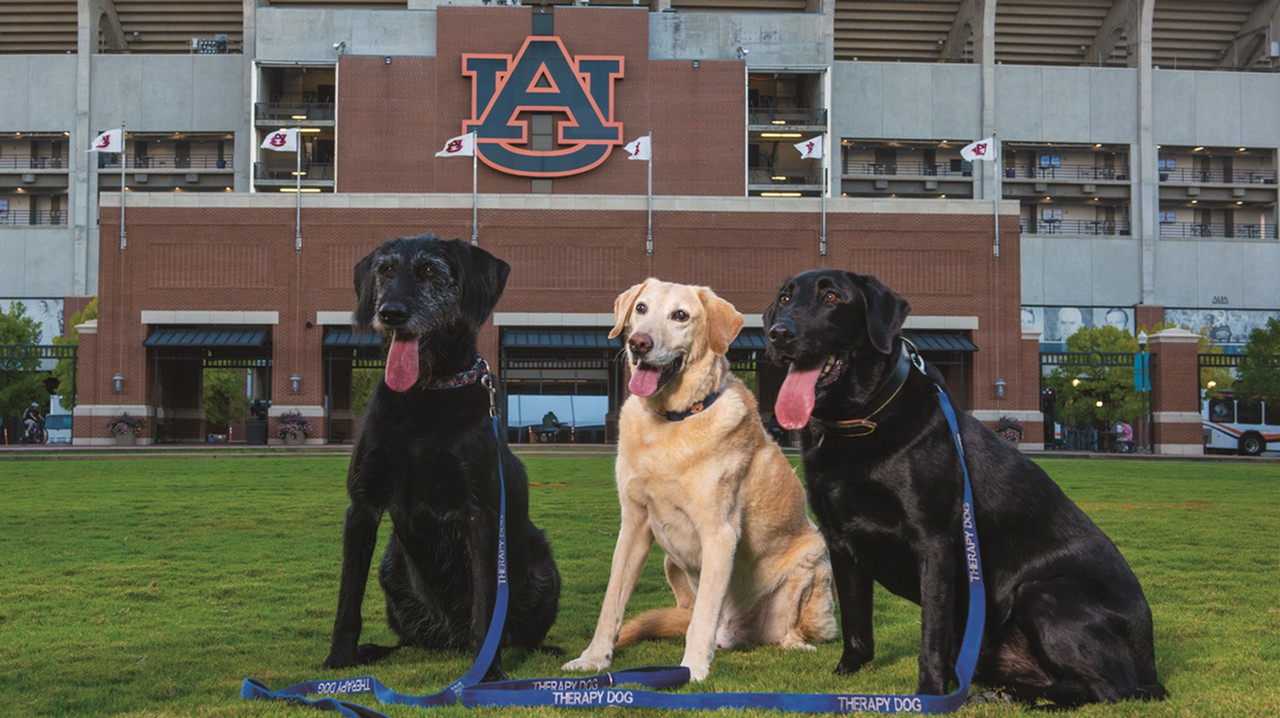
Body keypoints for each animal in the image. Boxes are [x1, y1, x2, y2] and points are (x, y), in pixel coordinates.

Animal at [322, 234, 558, 675]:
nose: (390, 313)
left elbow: (487, 603)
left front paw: (490, 673)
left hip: (543, 565)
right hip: (391, 565)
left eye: (430, 271)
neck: (424, 396)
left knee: (518, 634)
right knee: (411, 638)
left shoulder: (481, 514)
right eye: (385, 269)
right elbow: (349, 594)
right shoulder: (362, 504)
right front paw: (339, 657)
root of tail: (453, 636)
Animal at [565, 277, 834, 680]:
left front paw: (691, 669)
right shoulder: (634, 524)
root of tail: (738, 633)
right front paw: (594, 658)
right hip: (670, 561)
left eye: (680, 315)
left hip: (813, 558)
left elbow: (704, 615)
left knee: (785, 628)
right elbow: (612, 601)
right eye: (641, 308)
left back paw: (795, 644)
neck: (671, 420)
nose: (638, 343)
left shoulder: (719, 533)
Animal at [762, 267, 1167, 706]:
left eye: (832, 297)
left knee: (1110, 690)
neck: (859, 420)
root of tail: (1152, 663)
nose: (779, 334)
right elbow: (856, 625)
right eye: (784, 298)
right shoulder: (841, 541)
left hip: (1043, 593)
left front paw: (928, 694)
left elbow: (932, 634)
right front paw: (845, 675)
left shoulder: (935, 543)